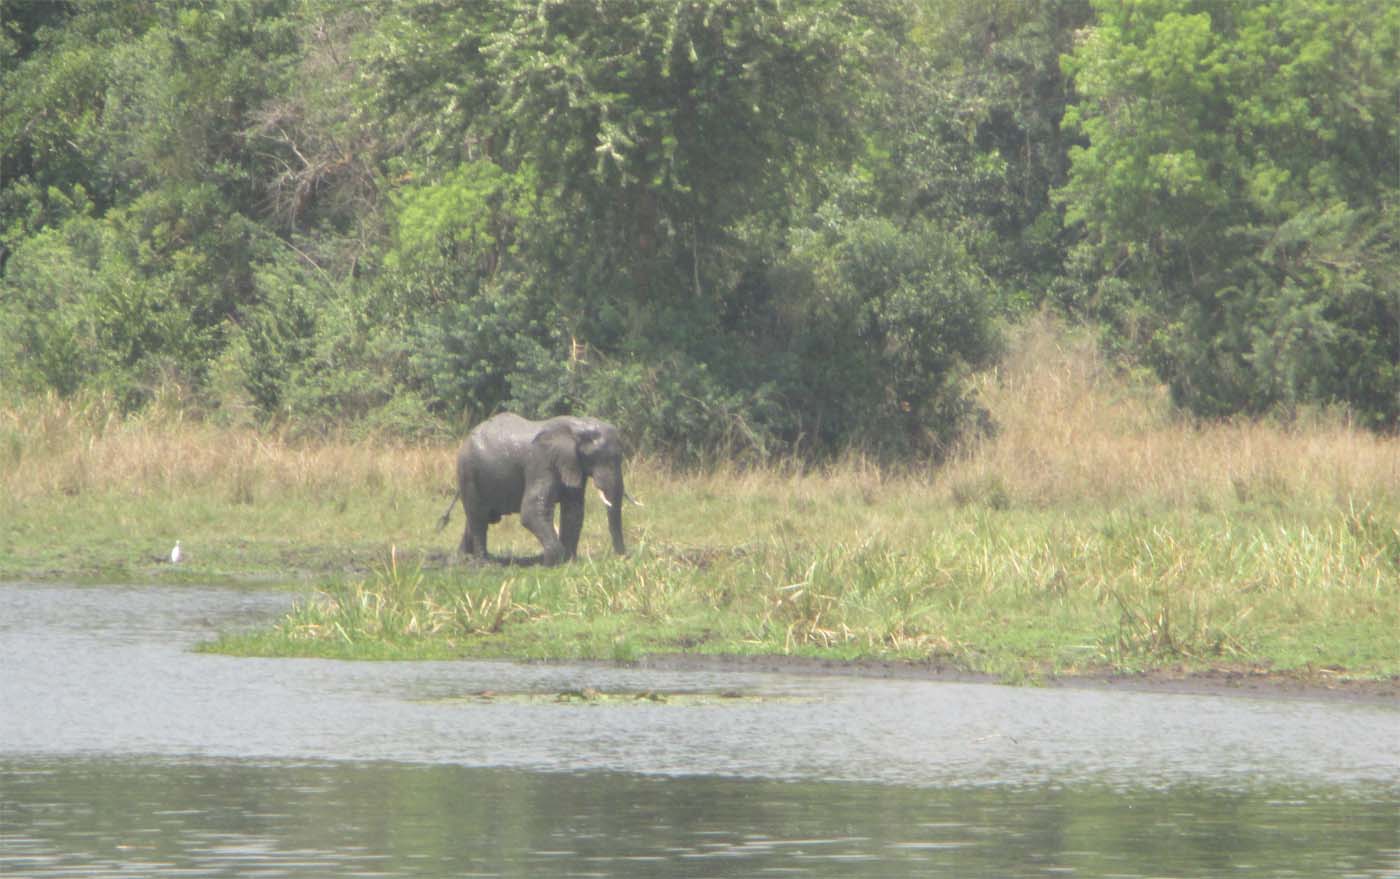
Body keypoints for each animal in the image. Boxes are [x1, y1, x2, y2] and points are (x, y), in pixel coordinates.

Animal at [438, 413, 629, 565]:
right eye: (601, 458)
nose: (622, 557)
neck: (577, 425)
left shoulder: (573, 464)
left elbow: (573, 512)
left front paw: (569, 561)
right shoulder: (541, 463)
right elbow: (531, 511)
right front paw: (552, 562)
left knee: (475, 519)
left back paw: (460, 560)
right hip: (468, 473)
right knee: (478, 518)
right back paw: (483, 563)